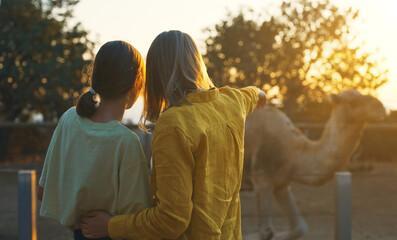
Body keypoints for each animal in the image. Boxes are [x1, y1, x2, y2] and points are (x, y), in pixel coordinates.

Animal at [243, 89, 386, 239]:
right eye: (352, 101)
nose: (379, 106)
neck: (293, 151)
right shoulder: (262, 177)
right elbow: (266, 233)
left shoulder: (281, 184)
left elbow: (300, 228)